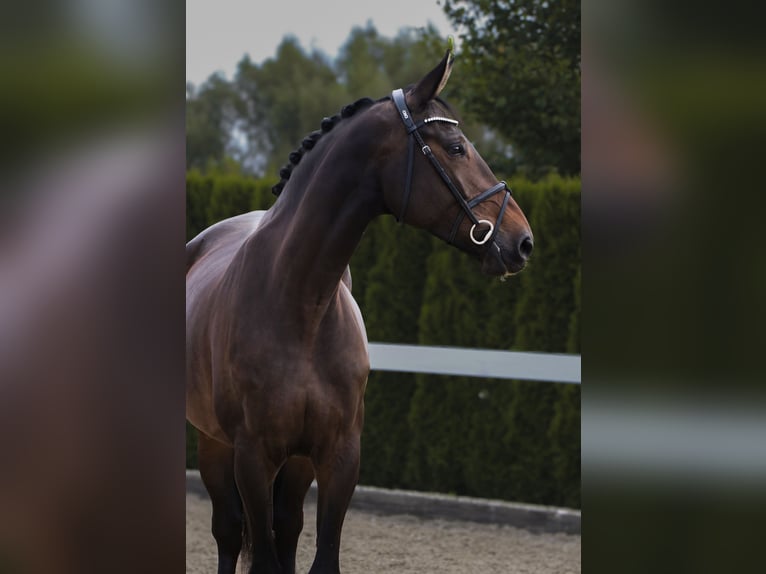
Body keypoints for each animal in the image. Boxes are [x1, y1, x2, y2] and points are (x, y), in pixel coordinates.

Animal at [186, 50, 536, 574]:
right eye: (456, 147)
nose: (522, 241)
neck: (301, 306)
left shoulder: (339, 456)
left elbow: (319, 556)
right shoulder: (251, 456)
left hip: (295, 464)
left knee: (286, 529)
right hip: (214, 444)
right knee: (228, 533)